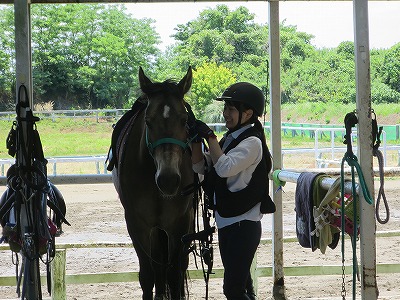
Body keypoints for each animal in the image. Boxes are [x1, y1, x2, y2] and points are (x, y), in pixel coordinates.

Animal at [111, 68, 195, 300]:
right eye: (148, 121)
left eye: (184, 120)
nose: (168, 180)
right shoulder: (137, 224)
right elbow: (148, 275)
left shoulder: (179, 224)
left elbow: (175, 274)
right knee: (158, 269)